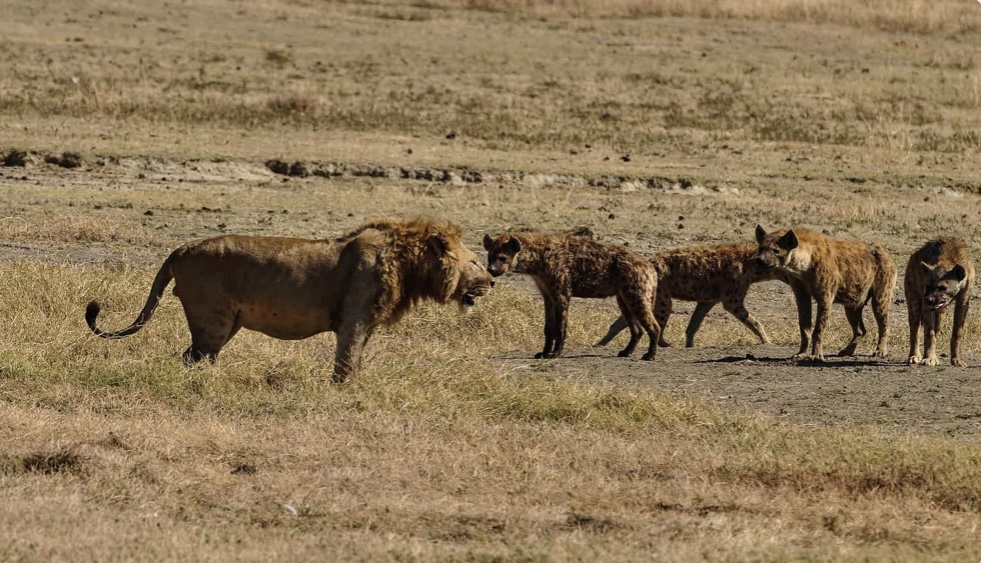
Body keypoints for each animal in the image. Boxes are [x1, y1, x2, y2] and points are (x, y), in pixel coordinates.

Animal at [86, 218, 494, 382]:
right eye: (474, 261)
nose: (491, 280)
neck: (408, 262)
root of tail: (181, 247)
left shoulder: (366, 324)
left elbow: (357, 360)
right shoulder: (354, 318)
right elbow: (346, 361)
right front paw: (343, 392)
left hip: (226, 324)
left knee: (197, 357)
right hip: (213, 320)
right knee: (193, 357)